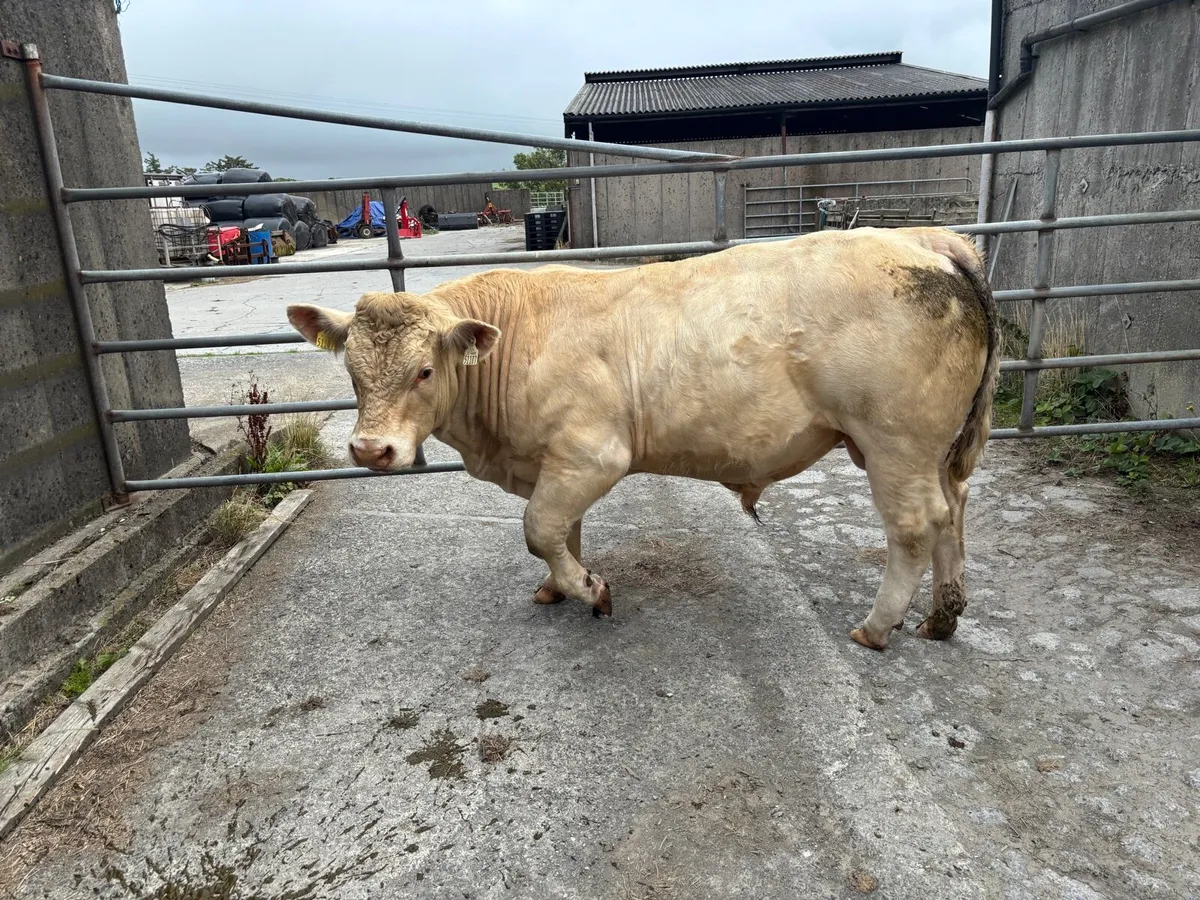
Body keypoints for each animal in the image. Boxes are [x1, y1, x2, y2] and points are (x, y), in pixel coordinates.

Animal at [287, 226, 998, 650]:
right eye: (352, 369)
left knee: (915, 526)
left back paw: (878, 627)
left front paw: (591, 591)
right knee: (954, 511)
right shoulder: (556, 461)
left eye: (425, 370)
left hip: (894, 440)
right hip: (935, 449)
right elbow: (561, 529)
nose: (371, 451)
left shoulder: (592, 453)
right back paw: (943, 615)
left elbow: (539, 527)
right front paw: (558, 587)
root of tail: (928, 241)